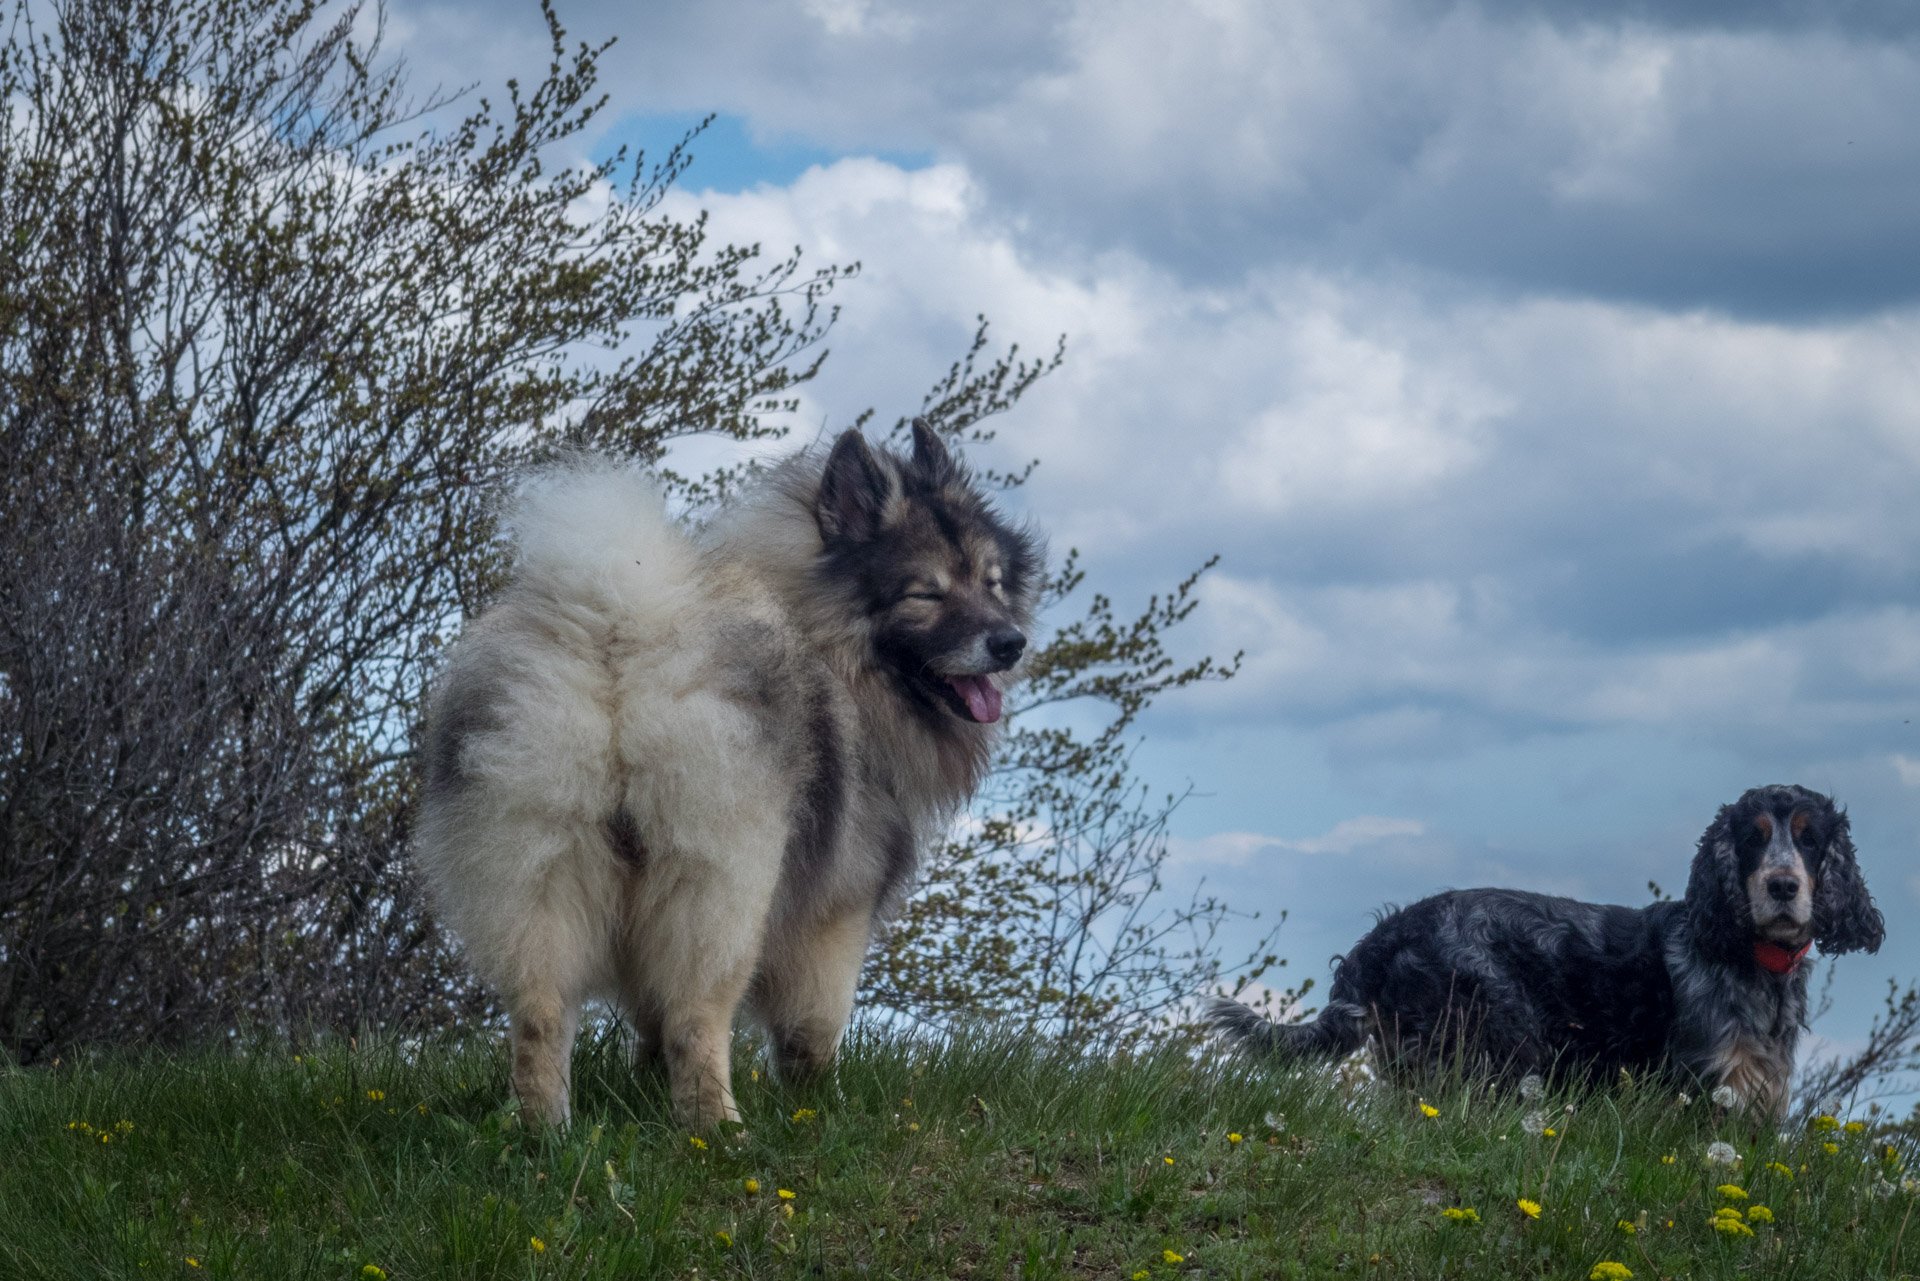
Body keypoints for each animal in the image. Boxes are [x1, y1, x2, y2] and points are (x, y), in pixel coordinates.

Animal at [420, 426, 1044, 1129]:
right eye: (927, 594)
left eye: (993, 583)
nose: (1010, 642)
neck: (827, 646)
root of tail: (620, 634)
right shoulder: (839, 909)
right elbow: (812, 1029)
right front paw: (819, 1109)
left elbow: (650, 1022)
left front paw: (647, 1092)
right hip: (725, 884)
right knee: (696, 1017)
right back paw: (720, 1131)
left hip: (538, 867)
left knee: (542, 1016)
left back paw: (544, 1134)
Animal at [1205, 783, 1881, 1113]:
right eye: (1752, 838)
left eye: (1810, 840)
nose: (1783, 885)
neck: (1752, 959)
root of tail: (1388, 931)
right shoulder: (1710, 1080)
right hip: (1494, 1040)